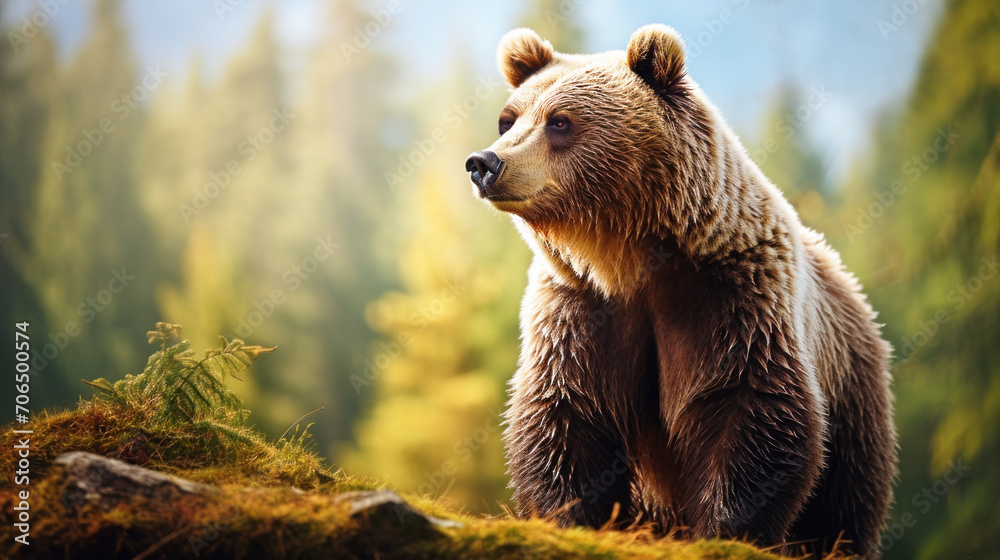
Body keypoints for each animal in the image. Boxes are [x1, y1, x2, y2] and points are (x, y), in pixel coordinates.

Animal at [464, 25, 897, 558]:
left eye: (560, 121)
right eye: (508, 119)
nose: (485, 162)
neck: (631, 258)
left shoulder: (731, 296)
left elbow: (749, 408)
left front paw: (726, 531)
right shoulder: (579, 308)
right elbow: (565, 411)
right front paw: (567, 517)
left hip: (853, 391)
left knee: (844, 501)